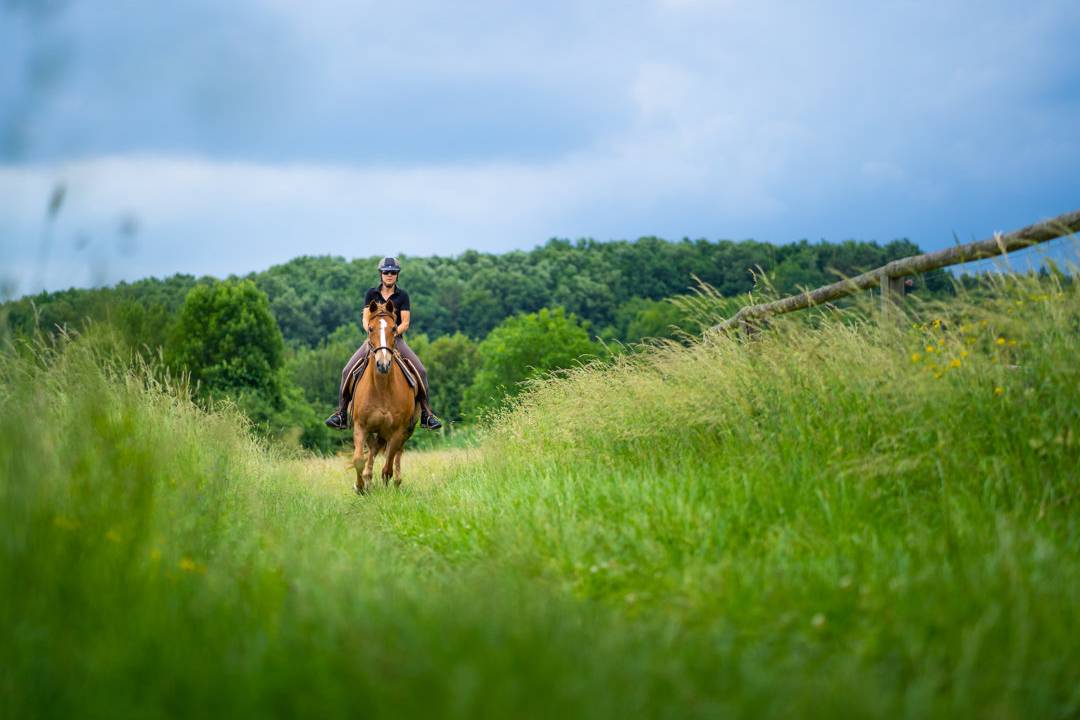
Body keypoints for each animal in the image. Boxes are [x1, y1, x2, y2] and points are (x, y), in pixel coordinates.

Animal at [350, 299, 421, 494]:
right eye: (370, 329)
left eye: (394, 329)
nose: (383, 364)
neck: (381, 388)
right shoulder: (361, 426)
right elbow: (359, 459)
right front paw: (360, 487)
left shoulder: (397, 431)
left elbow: (387, 467)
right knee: (373, 450)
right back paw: (367, 480)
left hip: (404, 431)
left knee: (396, 454)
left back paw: (396, 481)